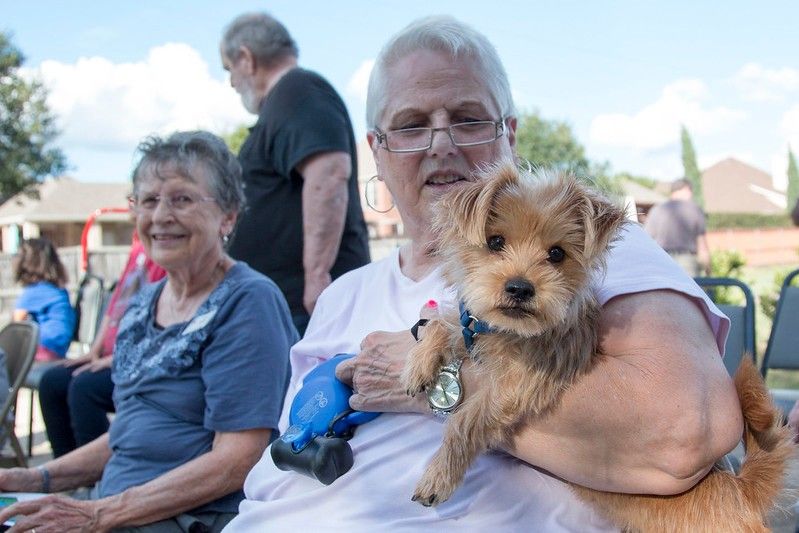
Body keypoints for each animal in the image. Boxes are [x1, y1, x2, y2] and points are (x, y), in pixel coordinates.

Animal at [406, 164, 792, 528]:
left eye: (557, 253)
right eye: (495, 241)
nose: (519, 288)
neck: (512, 334)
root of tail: (741, 490)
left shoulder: (525, 381)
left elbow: (466, 418)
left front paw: (438, 475)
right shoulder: (480, 335)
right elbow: (445, 324)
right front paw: (418, 364)